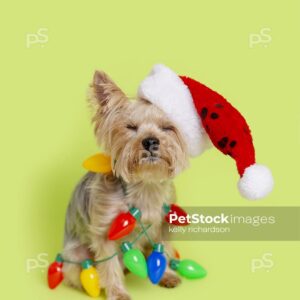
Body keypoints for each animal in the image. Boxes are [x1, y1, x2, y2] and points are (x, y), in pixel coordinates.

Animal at [62, 71, 189, 300]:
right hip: (77, 255)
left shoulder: (163, 222)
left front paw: (166, 274)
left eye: (167, 128)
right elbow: (109, 264)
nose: (150, 141)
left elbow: (163, 248)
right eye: (130, 127)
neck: (145, 184)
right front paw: (117, 292)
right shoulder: (105, 230)